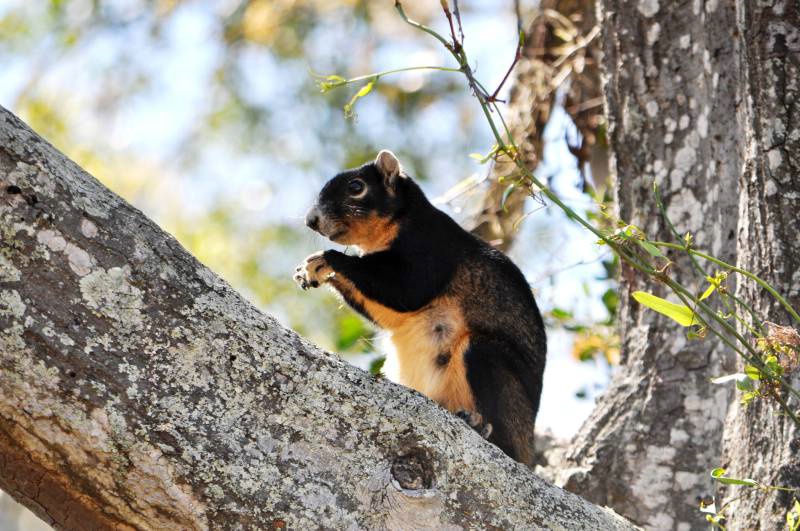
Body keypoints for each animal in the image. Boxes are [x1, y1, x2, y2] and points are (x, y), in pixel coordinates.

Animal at [296, 150, 548, 466]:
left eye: (356, 187)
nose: (310, 220)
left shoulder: (433, 249)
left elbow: (407, 290)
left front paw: (328, 259)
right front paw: (314, 271)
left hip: (491, 365)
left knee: (506, 443)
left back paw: (482, 428)